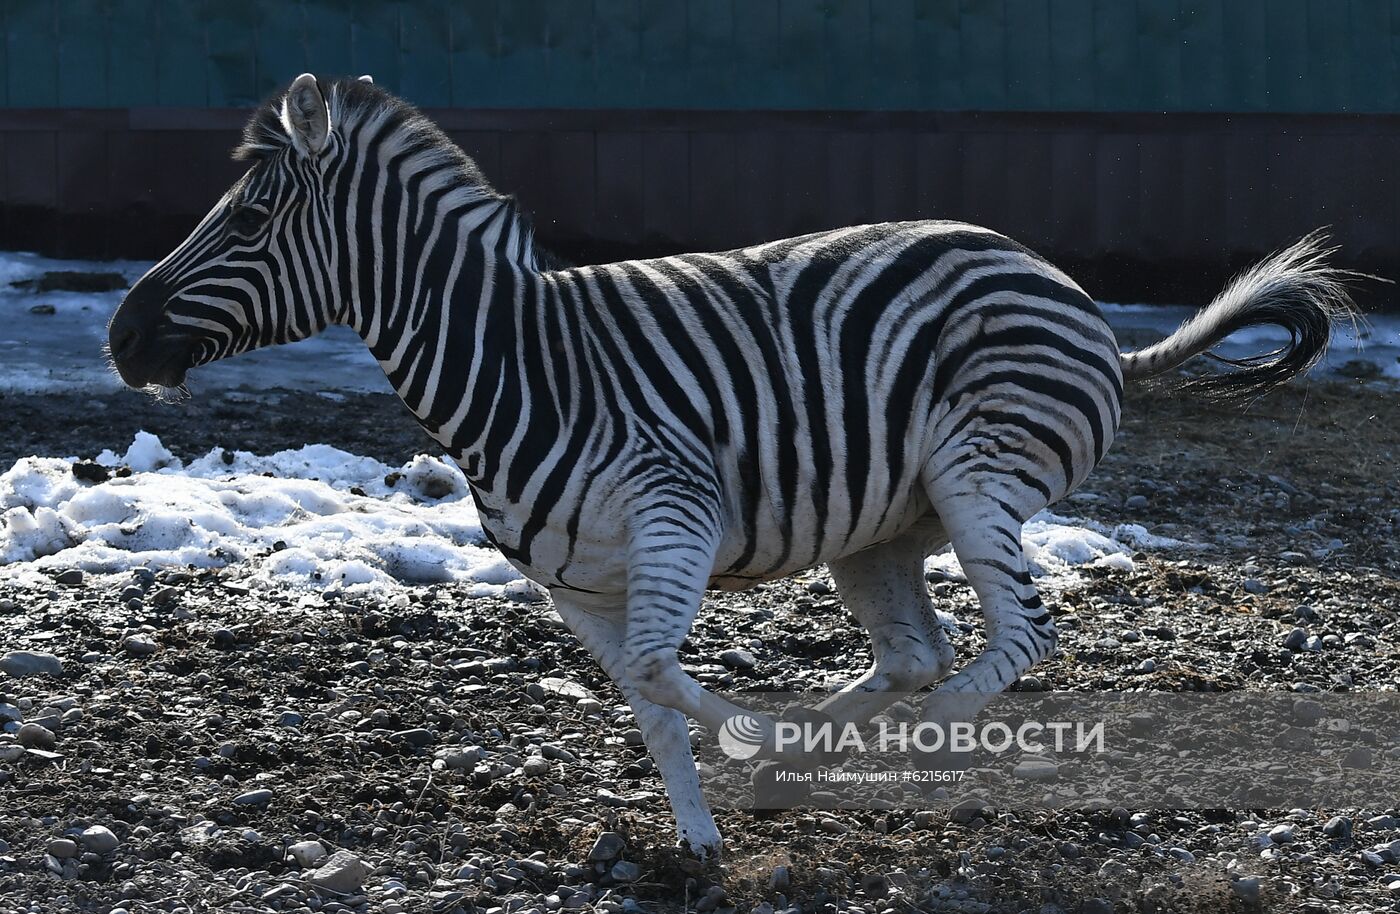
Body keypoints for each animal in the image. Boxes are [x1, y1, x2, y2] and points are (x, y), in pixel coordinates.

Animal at [106, 76, 1355, 856]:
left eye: (250, 217)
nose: (120, 336)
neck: (519, 363)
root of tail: (1072, 294)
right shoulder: (575, 582)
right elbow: (645, 697)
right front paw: (700, 837)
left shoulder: (675, 518)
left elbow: (665, 674)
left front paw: (748, 748)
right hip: (881, 524)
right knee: (916, 652)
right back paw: (813, 764)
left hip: (977, 471)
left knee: (1013, 640)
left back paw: (905, 754)